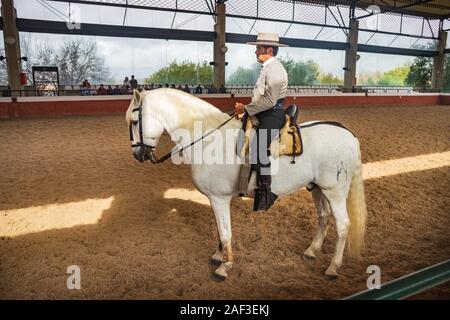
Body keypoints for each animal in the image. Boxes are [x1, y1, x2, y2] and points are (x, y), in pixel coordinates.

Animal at [125, 88, 366, 280]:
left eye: (135, 122)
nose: (138, 154)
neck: (209, 138)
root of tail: (348, 134)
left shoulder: (219, 199)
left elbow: (225, 232)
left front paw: (225, 267)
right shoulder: (215, 200)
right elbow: (220, 230)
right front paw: (219, 256)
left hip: (335, 192)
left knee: (343, 225)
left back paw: (333, 268)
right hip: (317, 188)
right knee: (323, 217)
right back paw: (311, 251)